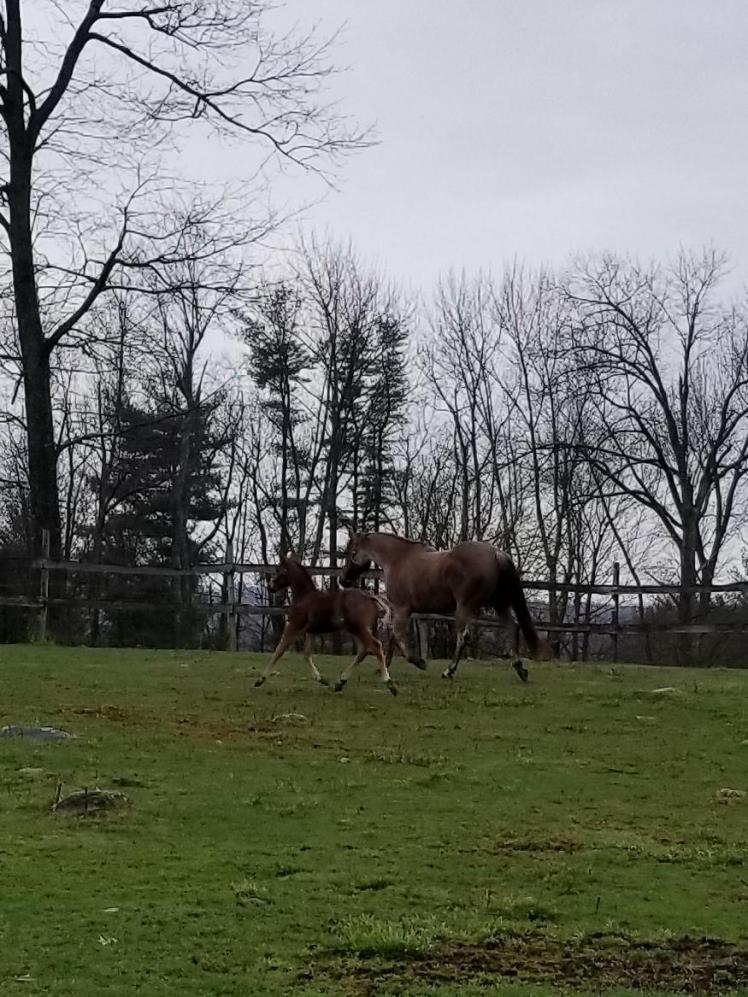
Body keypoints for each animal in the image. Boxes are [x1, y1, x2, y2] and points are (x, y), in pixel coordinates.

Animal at [254, 552, 397, 695]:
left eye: (278, 569)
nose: (270, 587)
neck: (303, 597)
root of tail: (371, 597)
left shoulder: (293, 625)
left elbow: (279, 650)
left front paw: (260, 680)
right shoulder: (310, 631)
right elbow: (306, 655)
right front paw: (322, 679)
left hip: (360, 629)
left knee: (375, 646)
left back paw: (389, 683)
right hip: (361, 629)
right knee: (364, 650)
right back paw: (340, 682)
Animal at [339, 532, 552, 681]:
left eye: (352, 553)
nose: (343, 580)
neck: (398, 559)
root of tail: (495, 553)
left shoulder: (401, 609)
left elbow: (398, 636)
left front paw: (419, 662)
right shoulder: (399, 611)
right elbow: (392, 636)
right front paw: (383, 667)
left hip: (464, 607)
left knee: (463, 636)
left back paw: (448, 671)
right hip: (499, 604)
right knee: (511, 627)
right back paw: (520, 668)